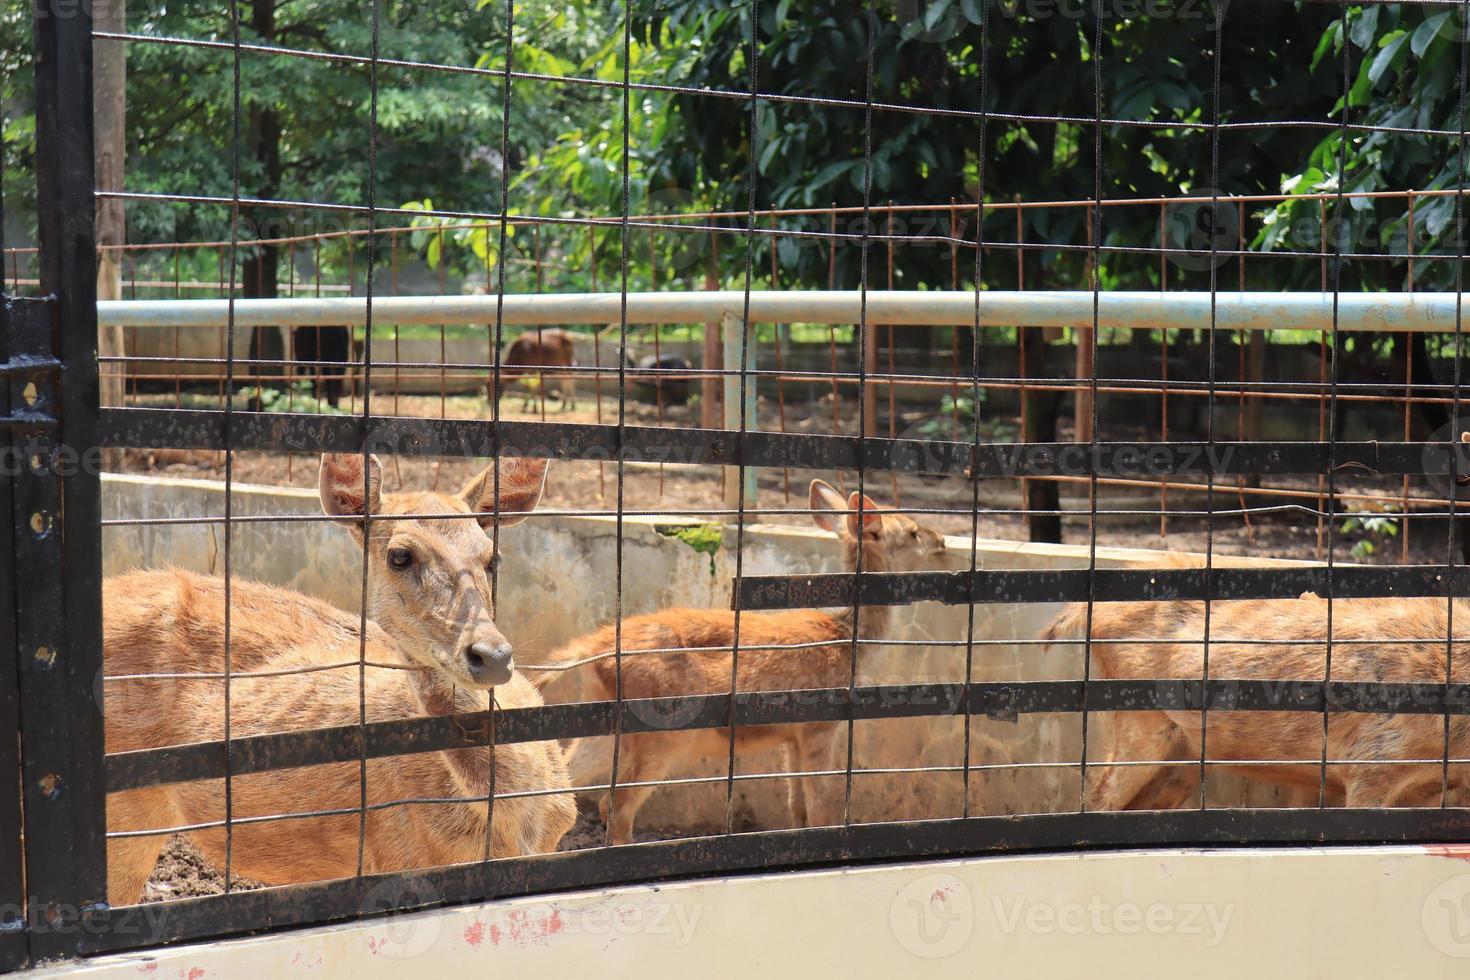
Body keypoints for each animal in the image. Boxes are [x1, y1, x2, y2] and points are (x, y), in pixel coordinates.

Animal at [102, 452, 573, 905]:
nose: (491, 655)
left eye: (493, 557)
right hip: (126, 814)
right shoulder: (397, 853)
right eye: (399, 555)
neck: (513, 821)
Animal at [535, 481, 946, 846]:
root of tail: (594, 649)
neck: (846, 638)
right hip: (661, 728)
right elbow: (820, 804)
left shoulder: (792, 735)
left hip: (605, 719)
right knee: (615, 803)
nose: (941, 541)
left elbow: (796, 804)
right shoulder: (820, 724)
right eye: (912, 532)